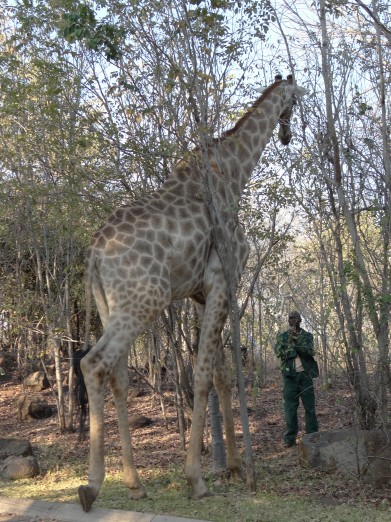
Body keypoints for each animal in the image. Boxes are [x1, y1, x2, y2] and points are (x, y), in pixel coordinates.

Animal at [78, 73, 308, 508]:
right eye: (298, 99)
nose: (289, 134)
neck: (234, 173)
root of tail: (96, 253)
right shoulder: (224, 280)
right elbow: (202, 376)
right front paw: (197, 479)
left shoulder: (202, 293)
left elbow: (220, 376)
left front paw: (234, 467)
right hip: (145, 300)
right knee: (94, 364)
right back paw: (92, 485)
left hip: (108, 305)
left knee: (118, 376)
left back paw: (134, 483)